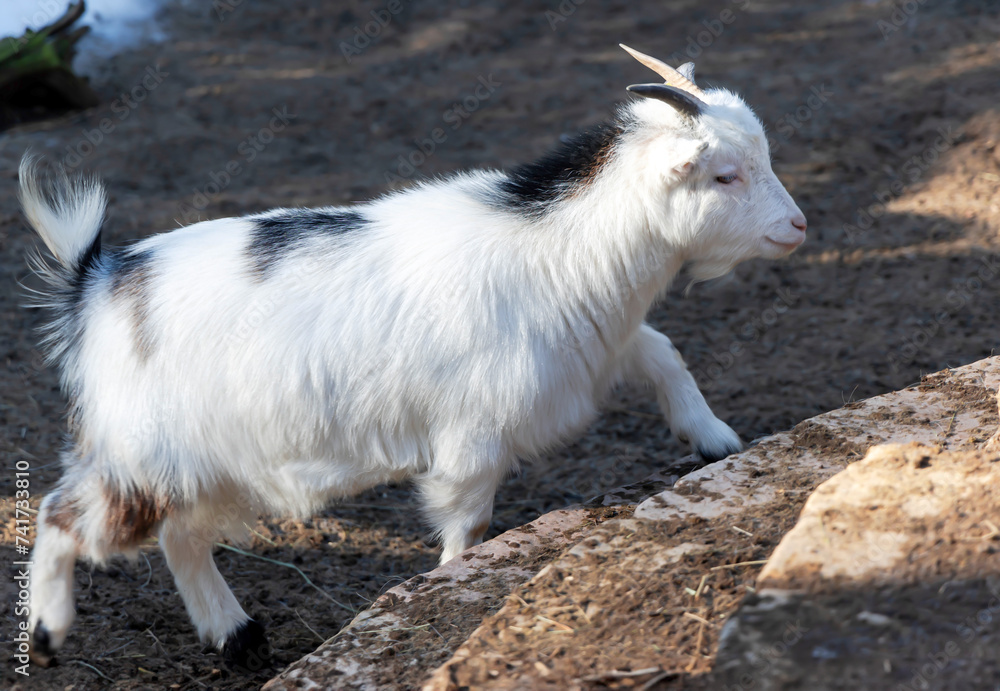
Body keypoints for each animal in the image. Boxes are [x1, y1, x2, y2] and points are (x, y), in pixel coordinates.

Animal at [21, 45, 806, 669]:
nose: (797, 226)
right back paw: (48, 634)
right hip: (140, 454)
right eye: (724, 175)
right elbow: (469, 520)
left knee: (181, 536)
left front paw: (715, 440)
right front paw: (456, 581)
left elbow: (664, 352)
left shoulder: (604, 345)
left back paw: (237, 637)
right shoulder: (474, 437)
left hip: (203, 462)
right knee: (62, 512)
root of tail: (99, 280)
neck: (559, 251)